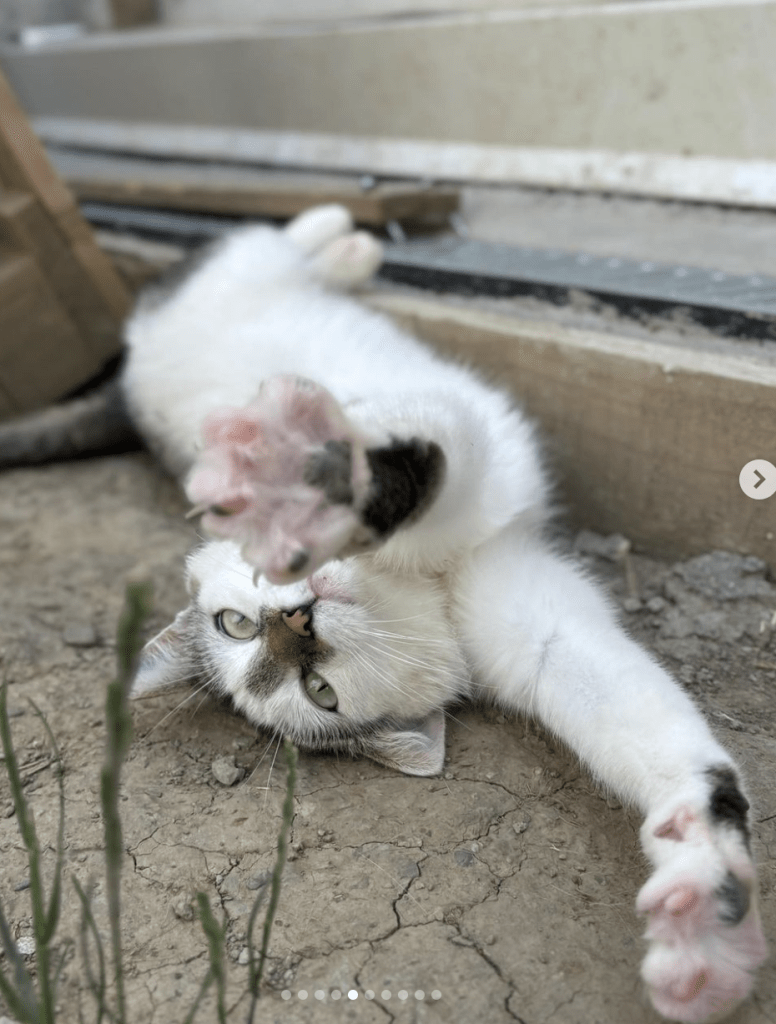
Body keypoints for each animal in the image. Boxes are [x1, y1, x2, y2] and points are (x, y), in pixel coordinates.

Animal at [3, 203, 765, 1019]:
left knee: (263, 247)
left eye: (231, 623)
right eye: (318, 691)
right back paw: (344, 243)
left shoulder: (429, 438)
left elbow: (409, 458)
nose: (295, 621)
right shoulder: (534, 633)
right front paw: (704, 901)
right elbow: (627, 712)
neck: (420, 578)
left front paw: (311, 492)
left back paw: (341, 239)